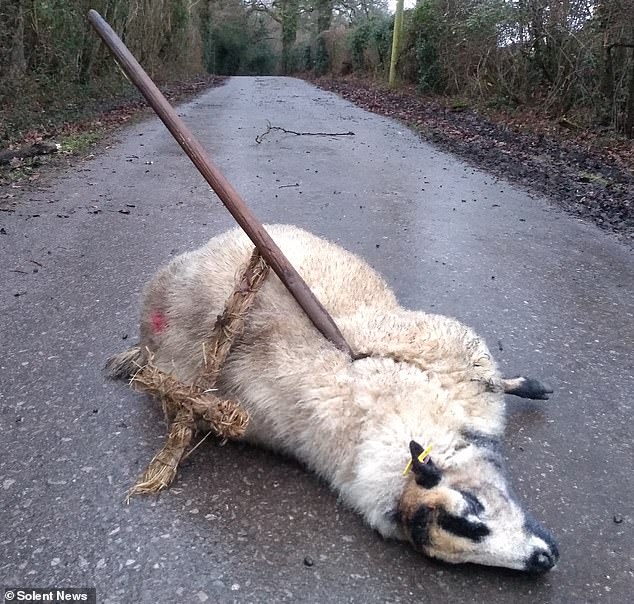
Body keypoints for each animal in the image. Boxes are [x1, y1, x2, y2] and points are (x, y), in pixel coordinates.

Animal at [108, 224, 556, 572]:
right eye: (467, 525)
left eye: (474, 507)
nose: (544, 560)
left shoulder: (461, 364)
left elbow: (501, 382)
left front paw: (533, 386)